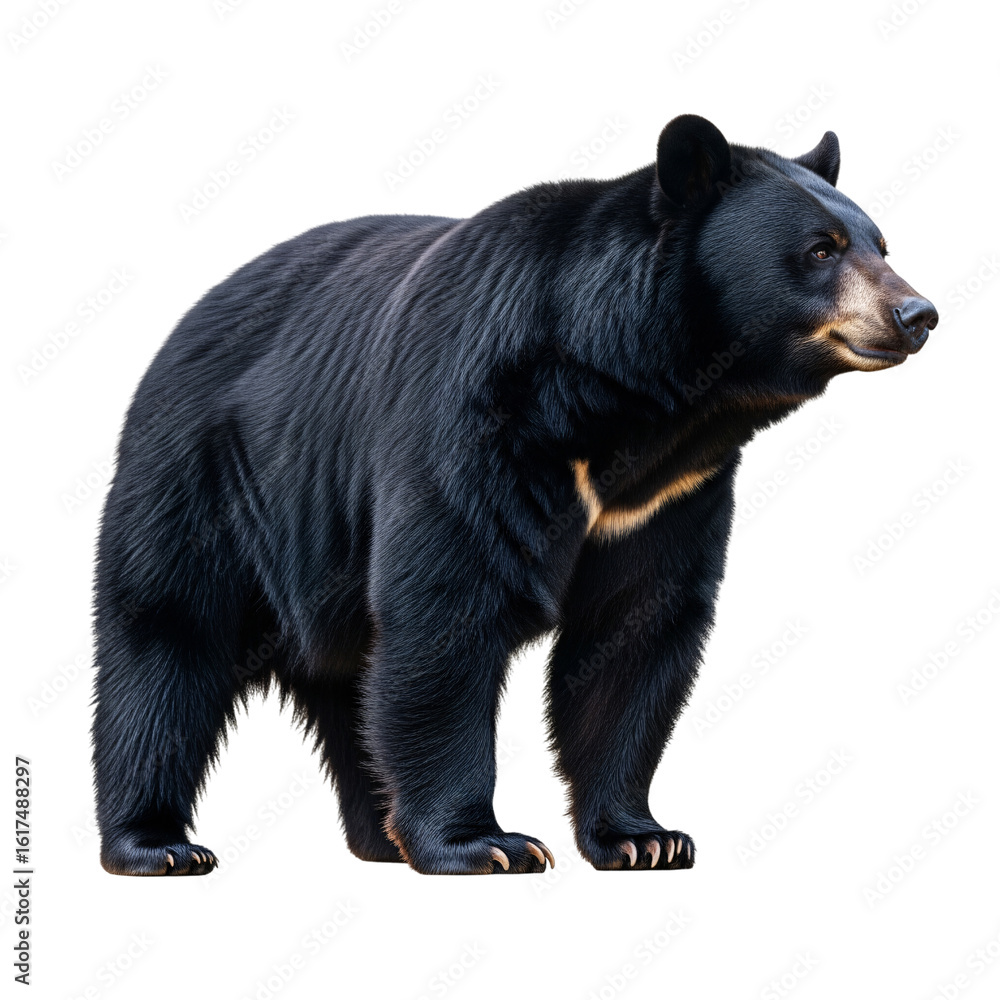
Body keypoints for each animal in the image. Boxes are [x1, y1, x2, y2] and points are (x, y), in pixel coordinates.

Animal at [91, 114, 937, 875]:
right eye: (821, 249)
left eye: (881, 244)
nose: (917, 313)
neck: (632, 404)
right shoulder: (479, 422)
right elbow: (448, 611)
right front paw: (484, 844)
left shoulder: (671, 494)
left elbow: (636, 631)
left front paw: (644, 837)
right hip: (209, 480)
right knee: (167, 641)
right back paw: (157, 844)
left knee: (349, 682)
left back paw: (381, 838)